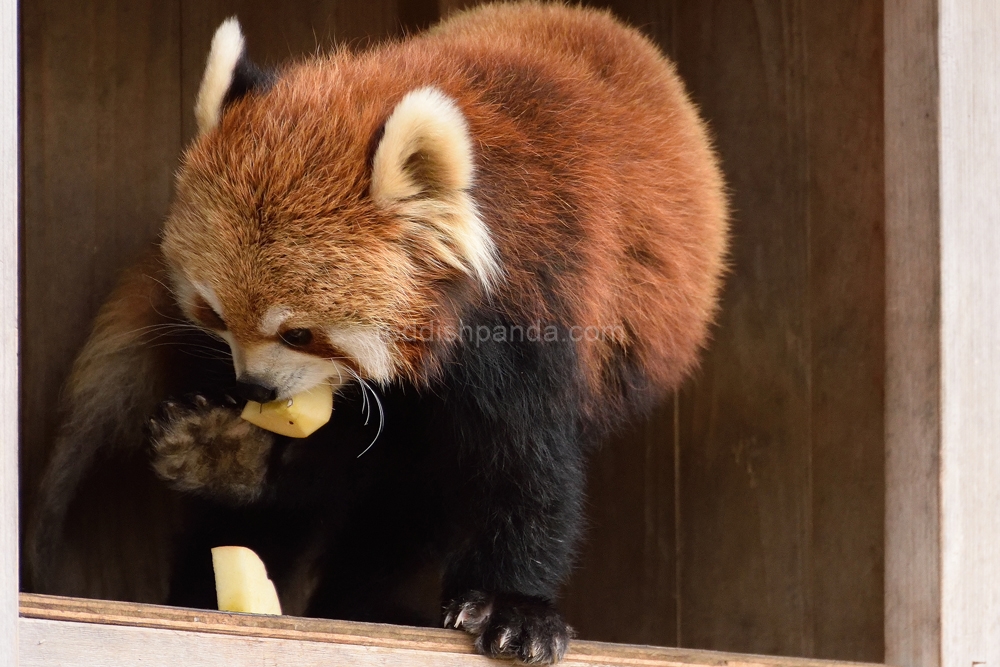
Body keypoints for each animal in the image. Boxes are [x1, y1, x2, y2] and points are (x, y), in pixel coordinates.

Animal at [25, 3, 728, 664]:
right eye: (215, 316)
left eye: (300, 333)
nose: (254, 388)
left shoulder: (542, 308)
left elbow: (525, 466)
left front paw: (515, 609)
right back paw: (230, 471)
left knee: (407, 501)